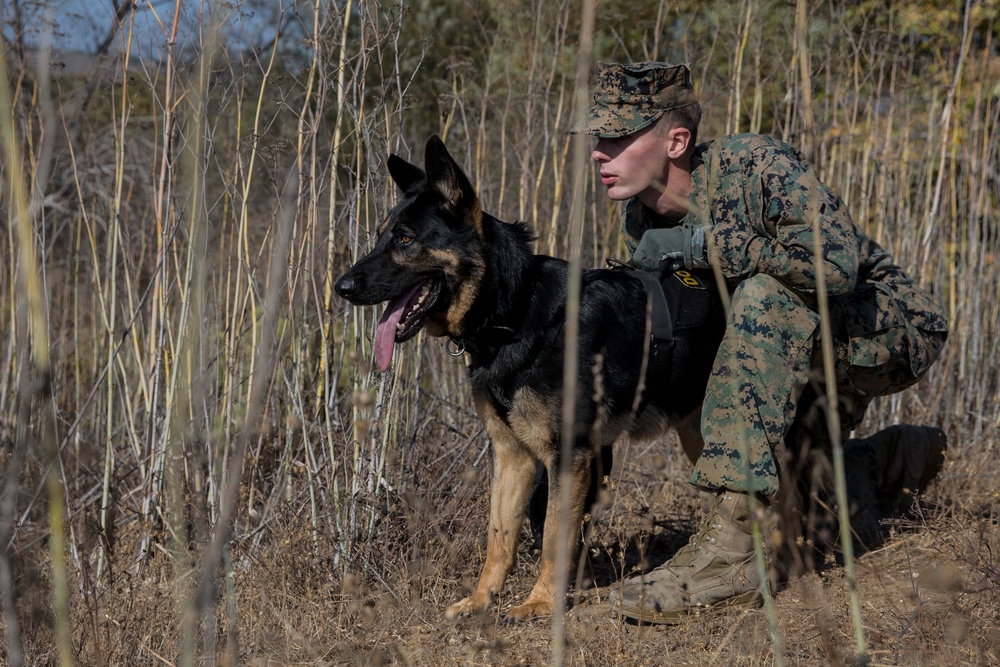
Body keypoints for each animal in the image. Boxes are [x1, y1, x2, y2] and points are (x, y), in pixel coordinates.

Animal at [336, 136, 728, 620]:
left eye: (405, 239)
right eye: (380, 237)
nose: (342, 287)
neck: (516, 313)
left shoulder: (569, 458)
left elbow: (555, 537)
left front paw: (539, 603)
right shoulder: (512, 455)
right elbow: (499, 535)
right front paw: (482, 599)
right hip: (699, 434)